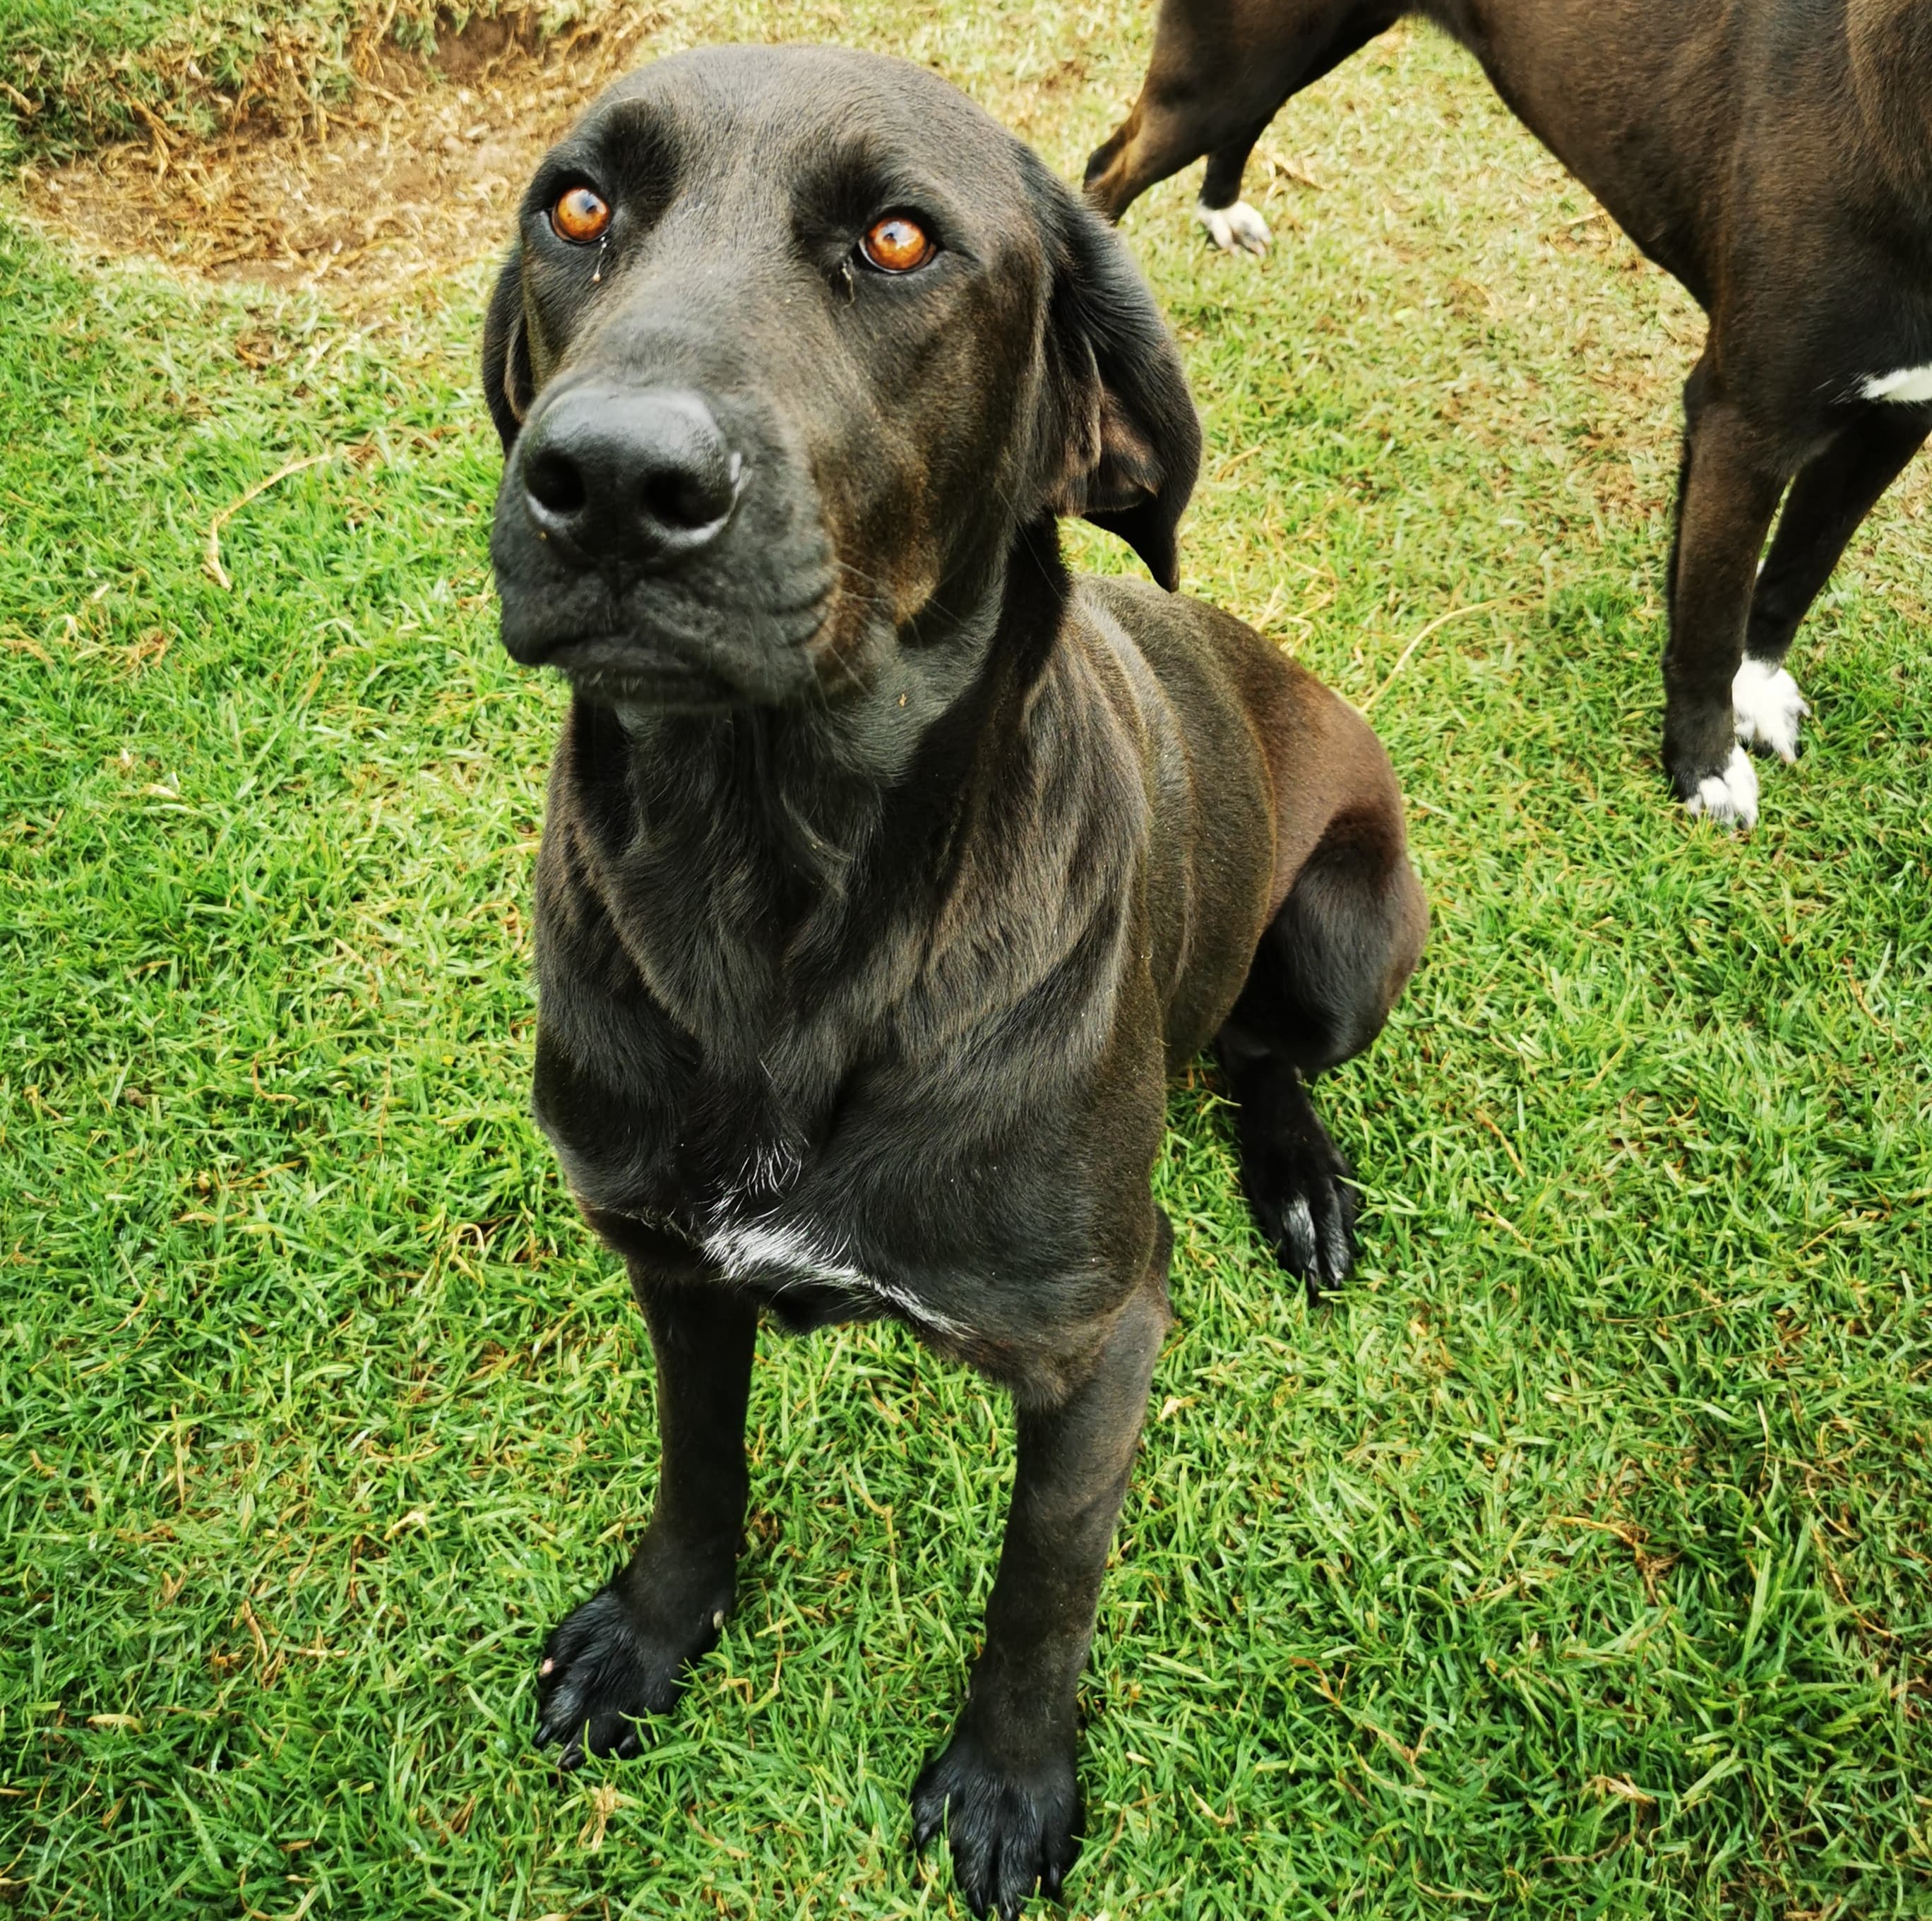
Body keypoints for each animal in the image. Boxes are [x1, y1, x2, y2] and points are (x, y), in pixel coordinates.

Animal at [1090, 0, 1932, 826]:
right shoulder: (1744, 427)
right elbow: (1709, 624)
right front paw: (1705, 766)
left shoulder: (1897, 418)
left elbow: (1797, 572)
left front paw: (1755, 694)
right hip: (1222, 68)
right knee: (1112, 168)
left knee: (1243, 120)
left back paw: (1219, 210)